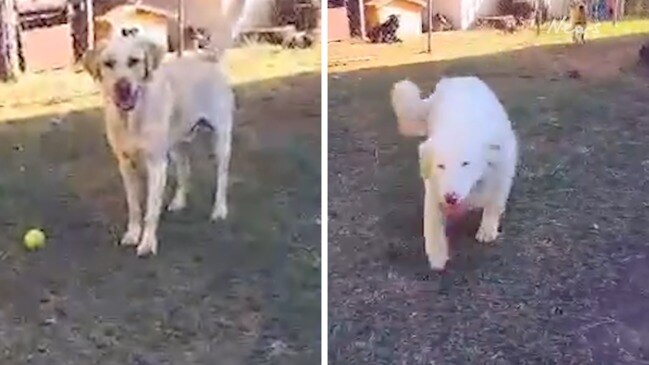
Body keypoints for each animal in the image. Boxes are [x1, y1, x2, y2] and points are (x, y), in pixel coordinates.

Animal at [81, 0, 243, 256]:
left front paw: (147, 242)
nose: (122, 87)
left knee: (222, 177)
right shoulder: (125, 164)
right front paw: (132, 234)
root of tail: (208, 57)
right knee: (185, 169)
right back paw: (178, 201)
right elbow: (135, 207)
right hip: (176, 144)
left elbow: (150, 210)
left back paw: (219, 209)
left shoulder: (156, 164)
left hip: (220, 140)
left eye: (134, 61)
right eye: (108, 64)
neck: (132, 117)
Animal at [390, 76, 516, 270]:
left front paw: (487, 229)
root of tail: (457, 79)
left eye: (466, 163)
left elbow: (494, 204)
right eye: (441, 166)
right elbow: (432, 225)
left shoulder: (502, 172)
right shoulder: (435, 190)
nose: (451, 198)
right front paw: (437, 256)